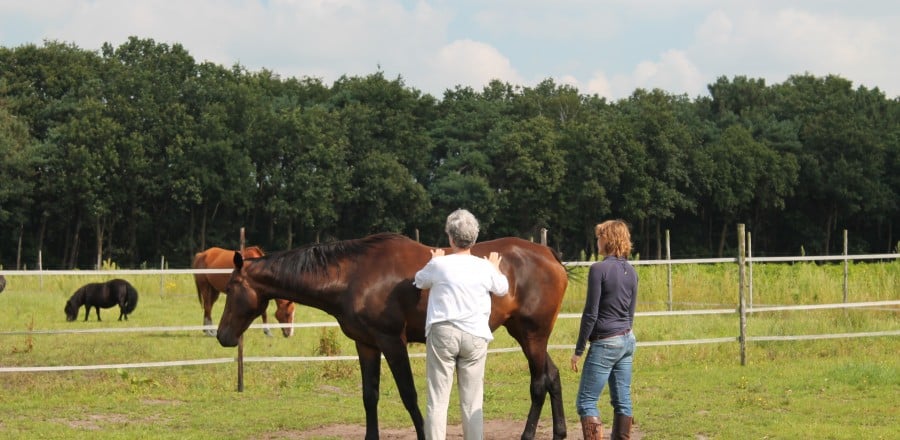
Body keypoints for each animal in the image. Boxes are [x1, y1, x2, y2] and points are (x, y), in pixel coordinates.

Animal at [217, 232, 569, 440]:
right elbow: (369, 396)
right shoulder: (366, 345)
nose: (222, 336)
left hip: (532, 335)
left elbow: (409, 396)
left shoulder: (392, 343)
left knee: (539, 383)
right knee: (552, 376)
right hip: (526, 334)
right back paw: (560, 432)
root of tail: (548, 254)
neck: (354, 275)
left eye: (231, 288)